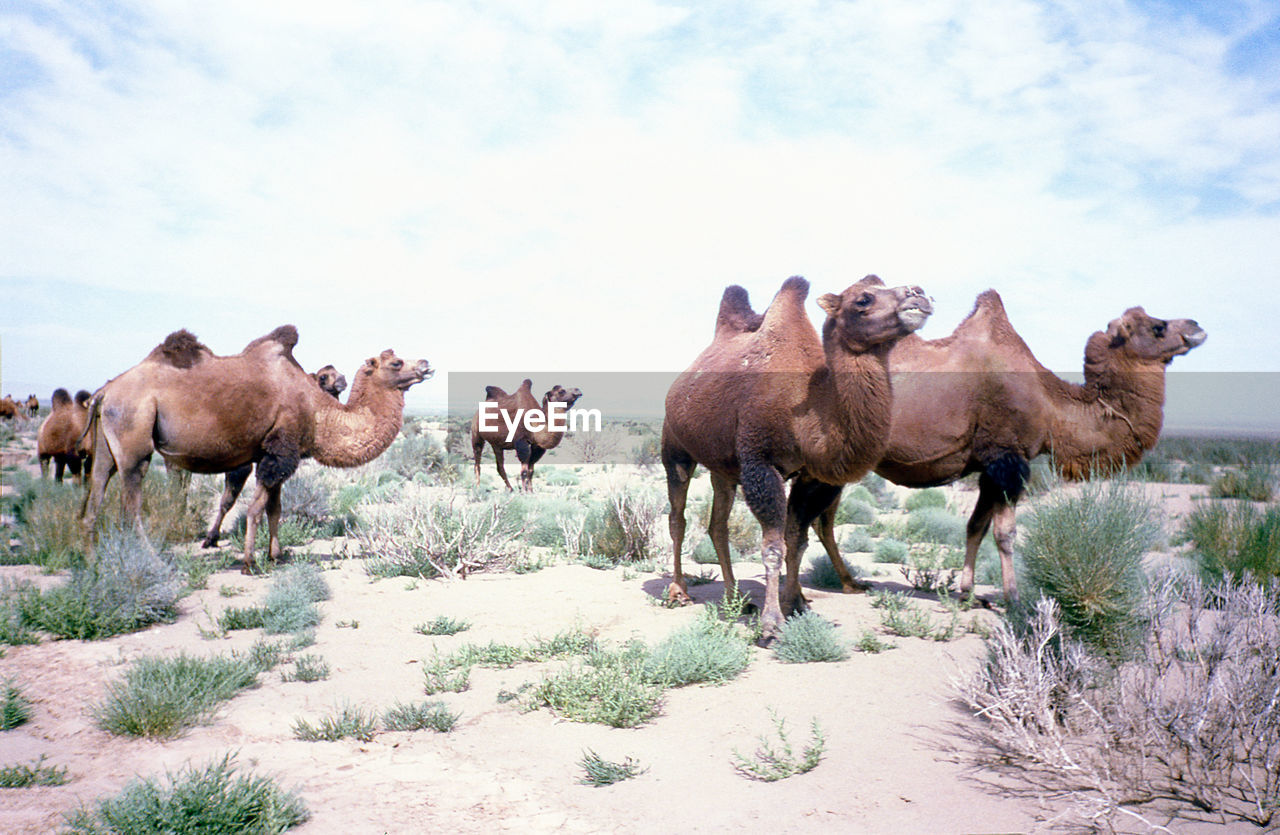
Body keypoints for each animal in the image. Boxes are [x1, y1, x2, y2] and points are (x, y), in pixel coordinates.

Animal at [660, 276, 931, 642]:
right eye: (863, 299)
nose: (918, 293)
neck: (807, 409)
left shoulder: (814, 477)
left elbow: (797, 541)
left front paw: (796, 602)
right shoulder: (760, 462)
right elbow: (774, 545)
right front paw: (772, 624)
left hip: (724, 469)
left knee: (718, 525)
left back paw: (734, 598)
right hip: (675, 449)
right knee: (678, 516)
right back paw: (678, 591)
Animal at [798, 290, 1208, 604]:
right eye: (1158, 326)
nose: (1196, 326)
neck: (1052, 406)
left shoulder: (989, 465)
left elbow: (975, 526)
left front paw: (966, 593)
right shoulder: (1008, 457)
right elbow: (1005, 534)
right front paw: (1013, 599)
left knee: (821, 519)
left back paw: (849, 583)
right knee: (814, 518)